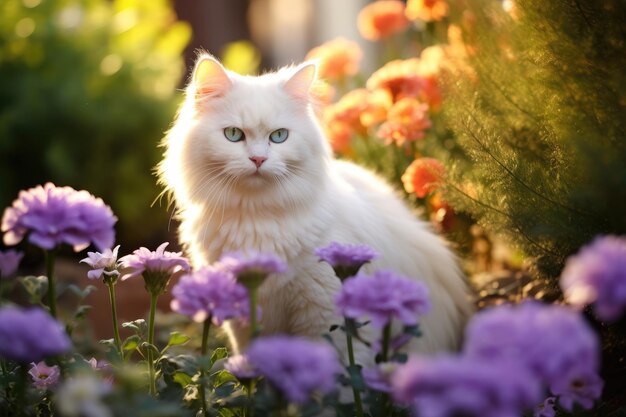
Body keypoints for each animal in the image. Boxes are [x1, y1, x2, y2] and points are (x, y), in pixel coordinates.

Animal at [158, 54, 470, 364]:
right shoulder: (243, 316)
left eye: (279, 136)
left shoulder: (324, 311)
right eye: (234, 135)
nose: (258, 159)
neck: (256, 217)